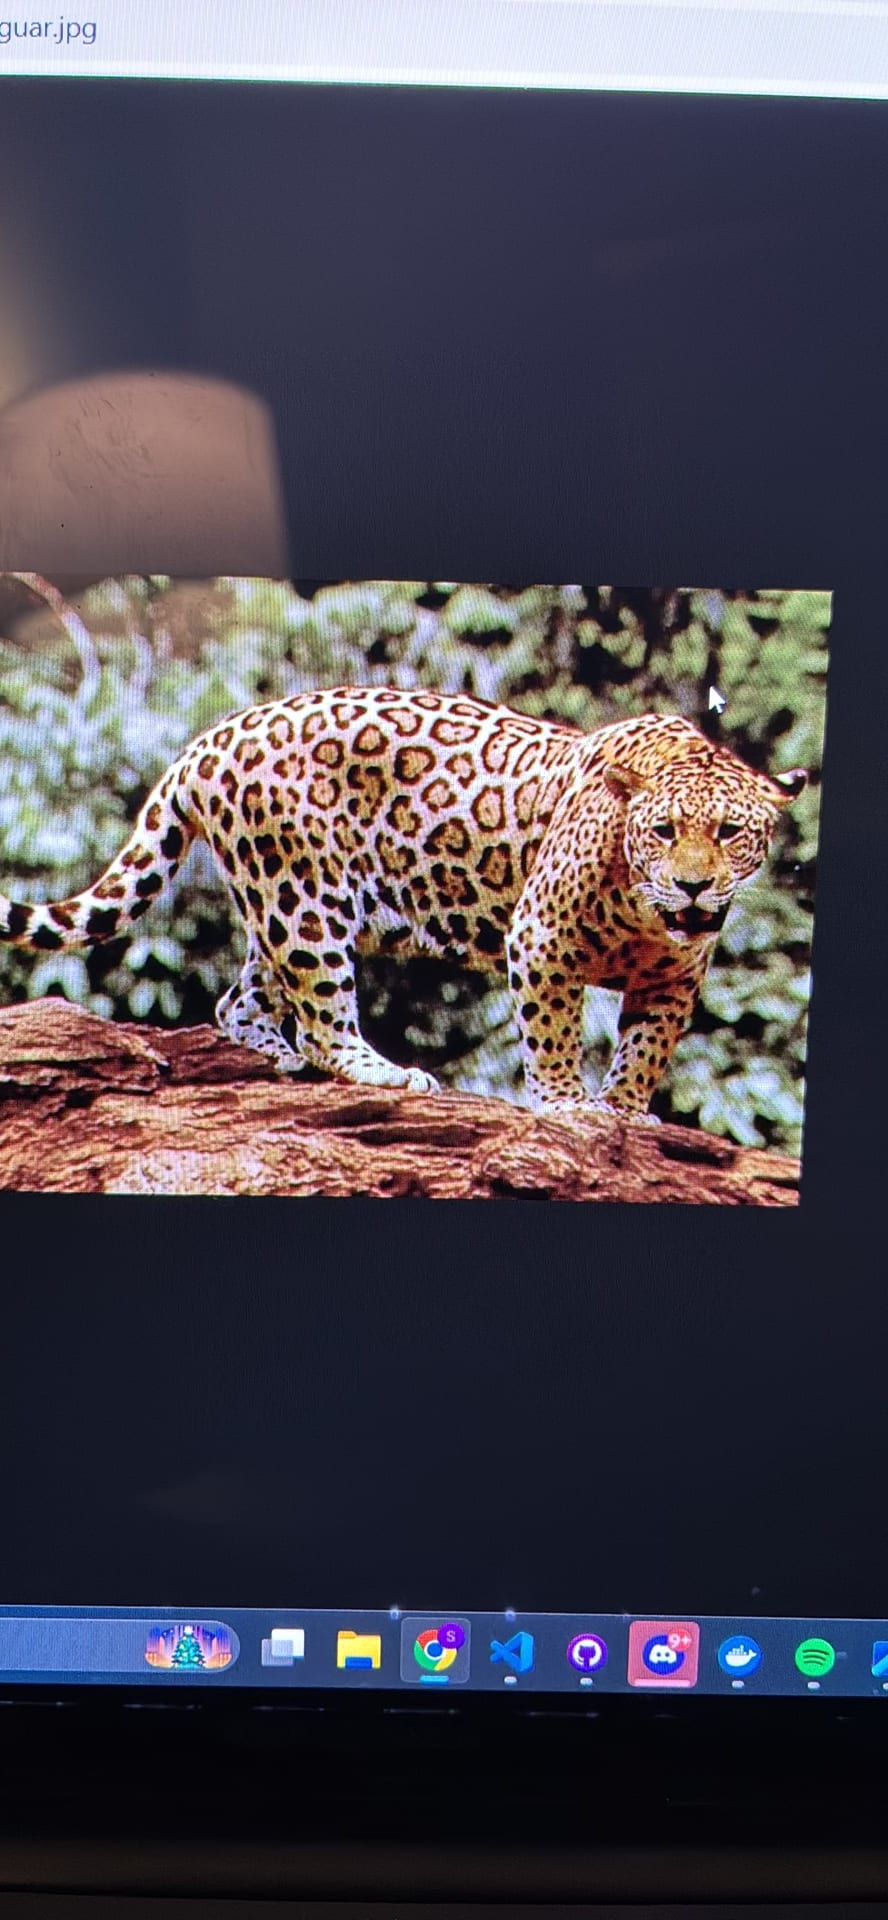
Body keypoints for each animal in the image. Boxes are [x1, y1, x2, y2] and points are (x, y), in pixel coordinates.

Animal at [0, 687, 807, 1121]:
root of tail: (213, 736)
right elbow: (553, 1032)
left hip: (287, 900)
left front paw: (623, 1113)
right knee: (322, 1020)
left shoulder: (674, 977)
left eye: (729, 833)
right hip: (307, 898)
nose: (693, 885)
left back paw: (280, 1061)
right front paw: (566, 1105)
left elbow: (645, 1050)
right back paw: (382, 1072)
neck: (645, 912)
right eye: (663, 830)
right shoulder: (540, 937)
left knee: (242, 1000)